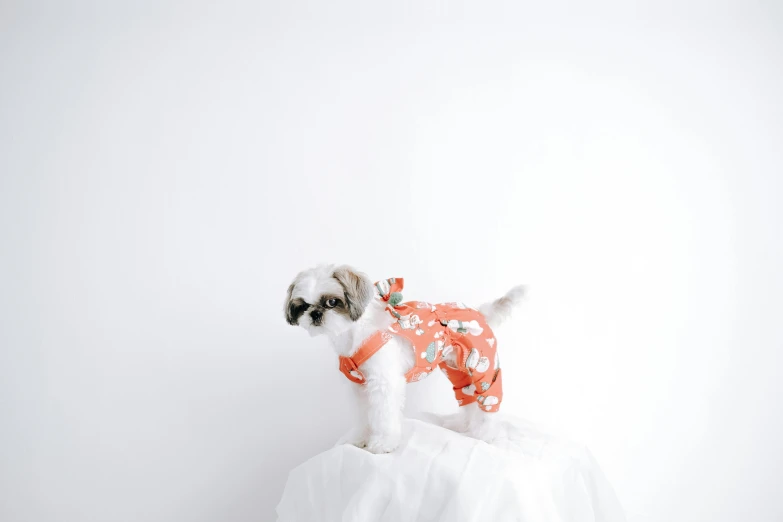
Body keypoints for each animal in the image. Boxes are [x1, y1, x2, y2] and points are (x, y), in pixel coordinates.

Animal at [284, 264, 524, 450]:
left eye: (332, 302)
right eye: (302, 306)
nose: (315, 314)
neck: (353, 334)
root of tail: (478, 312)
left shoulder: (384, 384)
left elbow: (383, 416)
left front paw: (382, 443)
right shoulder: (360, 388)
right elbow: (364, 416)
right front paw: (361, 438)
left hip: (483, 368)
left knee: (486, 401)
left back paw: (485, 434)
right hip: (458, 371)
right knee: (468, 397)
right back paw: (464, 425)